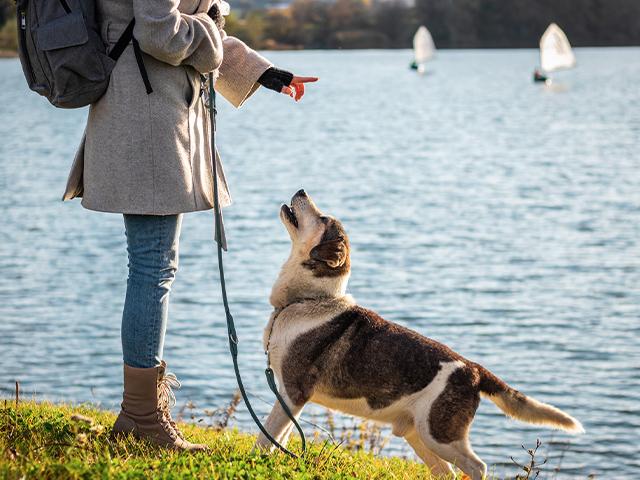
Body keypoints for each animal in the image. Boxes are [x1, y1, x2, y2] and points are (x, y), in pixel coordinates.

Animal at [254, 189, 580, 478]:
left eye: (322, 218)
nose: (301, 190)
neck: (309, 300)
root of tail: (475, 371)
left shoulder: (294, 392)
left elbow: (266, 435)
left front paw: (257, 463)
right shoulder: (290, 397)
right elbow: (281, 437)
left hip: (439, 434)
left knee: (478, 467)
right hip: (419, 435)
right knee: (447, 473)